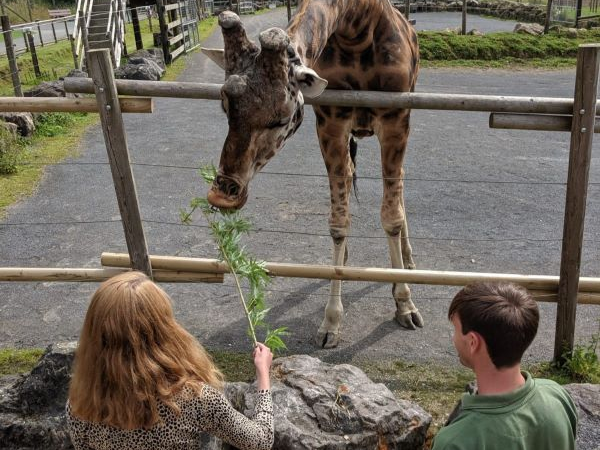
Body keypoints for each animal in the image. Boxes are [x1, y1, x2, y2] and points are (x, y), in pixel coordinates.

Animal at [204, 0, 424, 348]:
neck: (356, 28)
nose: (223, 193)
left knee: (399, 191)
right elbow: (337, 222)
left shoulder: (395, 119)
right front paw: (331, 321)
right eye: (225, 106)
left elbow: (391, 216)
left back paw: (409, 261)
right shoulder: (331, 119)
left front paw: (404, 303)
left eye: (281, 118)